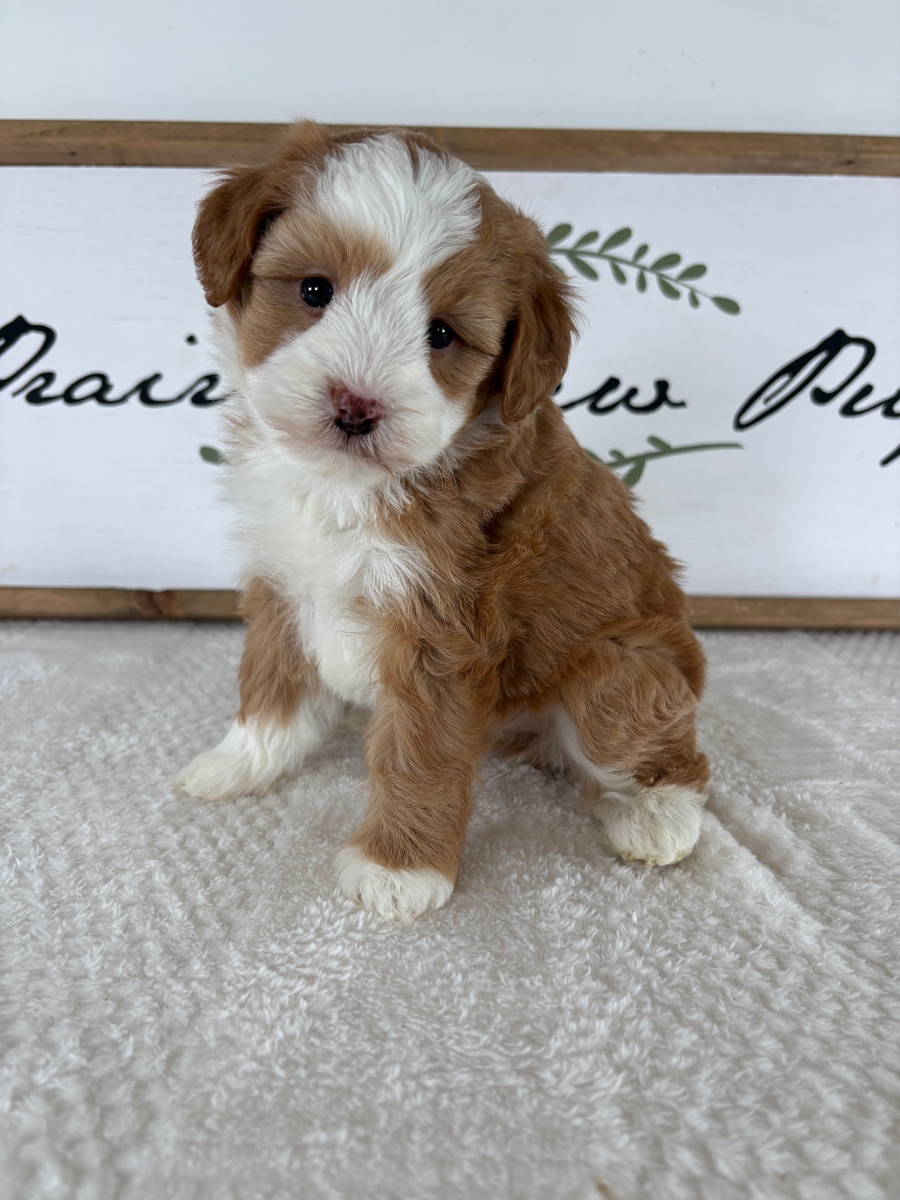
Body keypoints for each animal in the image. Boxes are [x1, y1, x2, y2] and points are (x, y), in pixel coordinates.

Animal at [176, 120, 709, 922]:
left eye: (442, 335)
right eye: (314, 290)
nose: (356, 407)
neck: (348, 487)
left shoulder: (442, 631)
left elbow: (418, 751)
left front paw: (398, 869)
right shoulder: (282, 580)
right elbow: (271, 683)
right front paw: (240, 763)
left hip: (619, 668)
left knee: (659, 748)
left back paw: (656, 816)